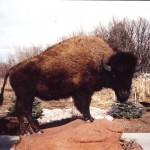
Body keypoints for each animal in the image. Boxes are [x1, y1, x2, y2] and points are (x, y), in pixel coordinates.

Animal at [0, 36, 142, 134]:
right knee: (26, 111)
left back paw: (27, 131)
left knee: (19, 111)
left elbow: (83, 106)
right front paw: (90, 119)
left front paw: (89, 118)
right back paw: (38, 130)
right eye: (114, 75)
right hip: (27, 96)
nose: (124, 94)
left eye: (131, 74)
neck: (100, 63)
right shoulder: (84, 92)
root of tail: (13, 68)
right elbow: (85, 106)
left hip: (20, 96)